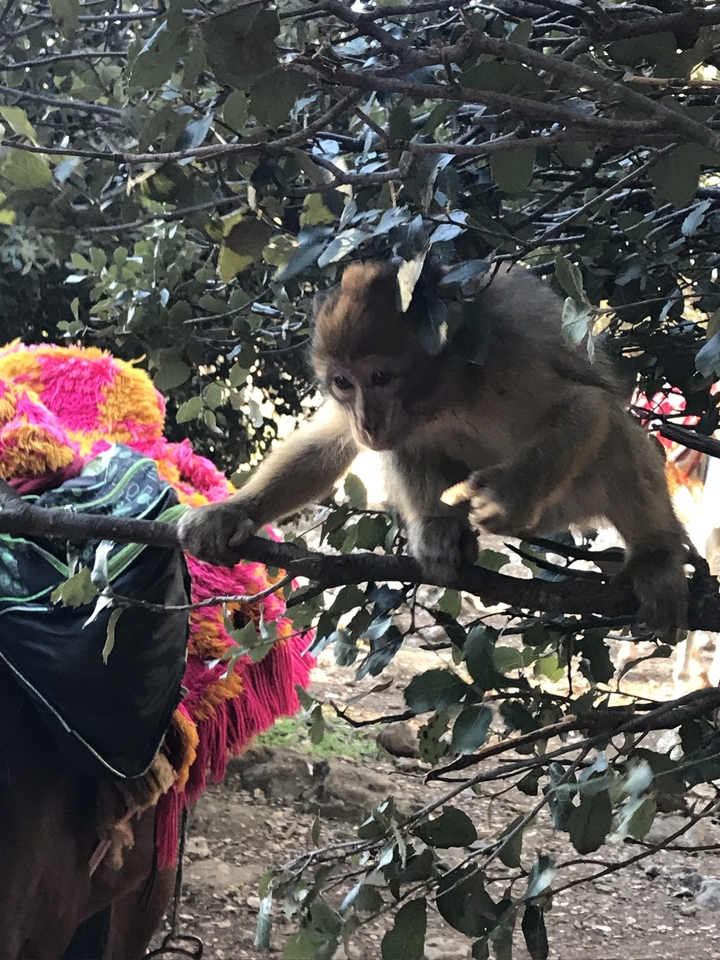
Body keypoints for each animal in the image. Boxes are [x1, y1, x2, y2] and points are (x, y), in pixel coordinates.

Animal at [178, 260, 689, 630]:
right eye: (342, 383)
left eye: (381, 377)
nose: (366, 420)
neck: (447, 391)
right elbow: (327, 446)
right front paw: (231, 513)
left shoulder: (505, 359)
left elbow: (589, 403)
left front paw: (505, 495)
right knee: (405, 446)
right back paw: (441, 532)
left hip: (566, 499)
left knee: (616, 435)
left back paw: (656, 555)